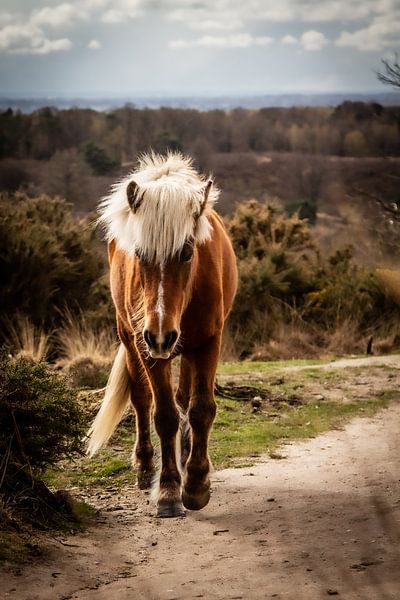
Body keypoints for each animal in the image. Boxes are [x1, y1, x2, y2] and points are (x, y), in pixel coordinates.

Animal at [87, 151, 238, 516]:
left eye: (186, 251)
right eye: (140, 254)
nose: (160, 336)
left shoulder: (209, 342)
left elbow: (200, 408)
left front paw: (196, 483)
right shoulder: (149, 348)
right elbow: (165, 414)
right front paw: (169, 490)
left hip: (183, 346)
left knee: (185, 399)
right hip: (131, 339)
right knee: (142, 400)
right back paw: (145, 468)